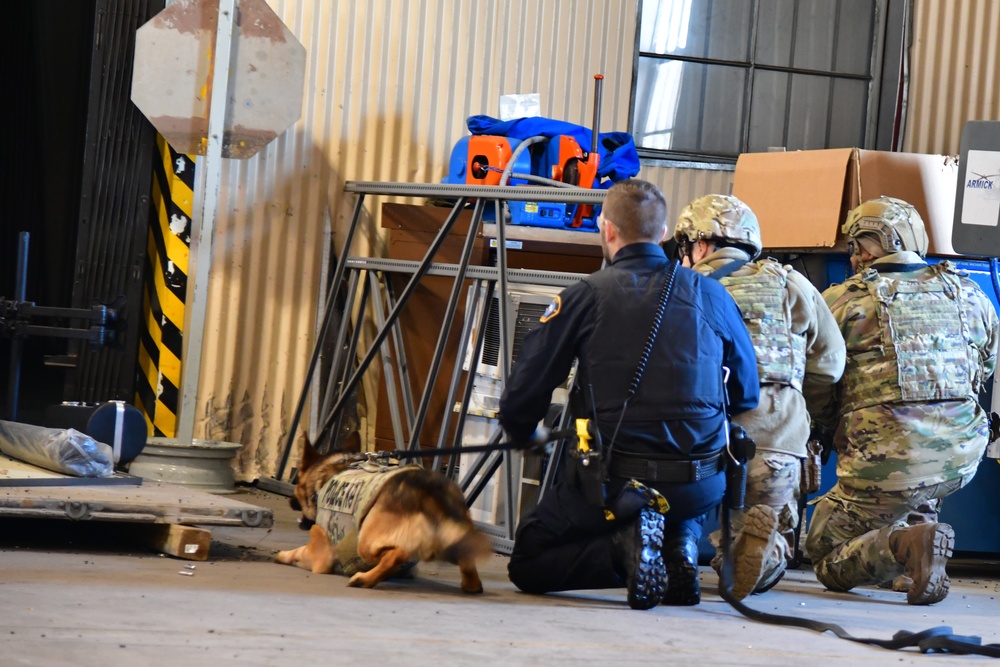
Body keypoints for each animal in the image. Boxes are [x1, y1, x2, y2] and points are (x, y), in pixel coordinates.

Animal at [276, 434, 494, 596]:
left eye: (298, 483)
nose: (290, 501)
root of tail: (429, 488)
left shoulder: (320, 555)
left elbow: (297, 552)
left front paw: (281, 555)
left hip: (366, 543)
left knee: (397, 555)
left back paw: (364, 580)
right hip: (455, 541)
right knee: (467, 563)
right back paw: (471, 585)